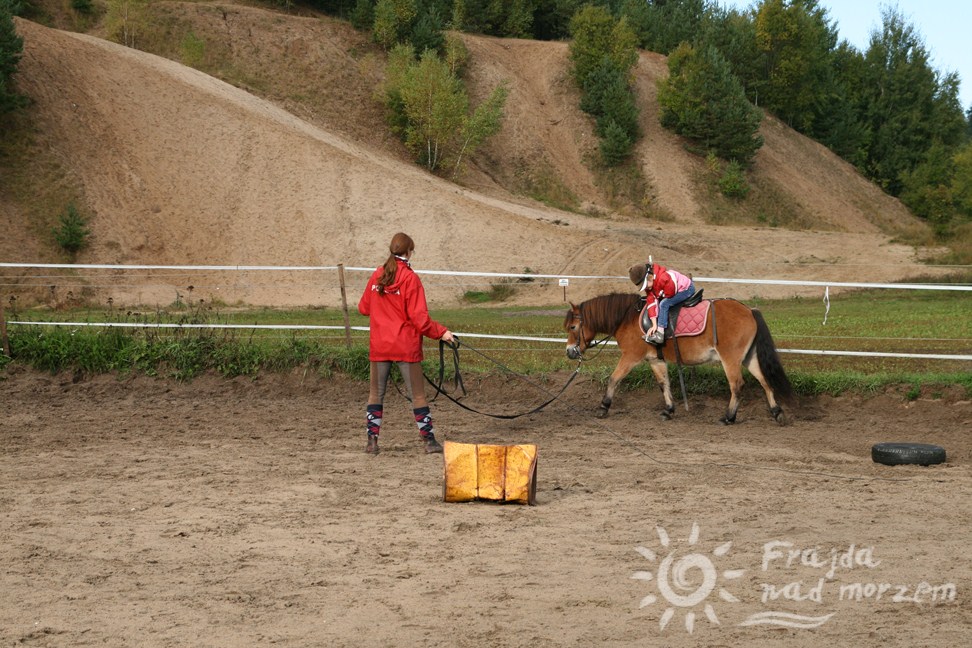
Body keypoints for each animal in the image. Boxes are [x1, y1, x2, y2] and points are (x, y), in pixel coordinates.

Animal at [564, 294, 792, 426]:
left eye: (573, 327)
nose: (570, 352)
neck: (627, 318)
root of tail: (750, 310)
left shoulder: (631, 357)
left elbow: (614, 379)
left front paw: (603, 407)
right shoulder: (655, 360)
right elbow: (664, 383)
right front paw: (668, 410)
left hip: (731, 359)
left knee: (737, 385)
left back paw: (729, 417)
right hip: (748, 358)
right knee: (764, 381)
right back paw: (777, 412)